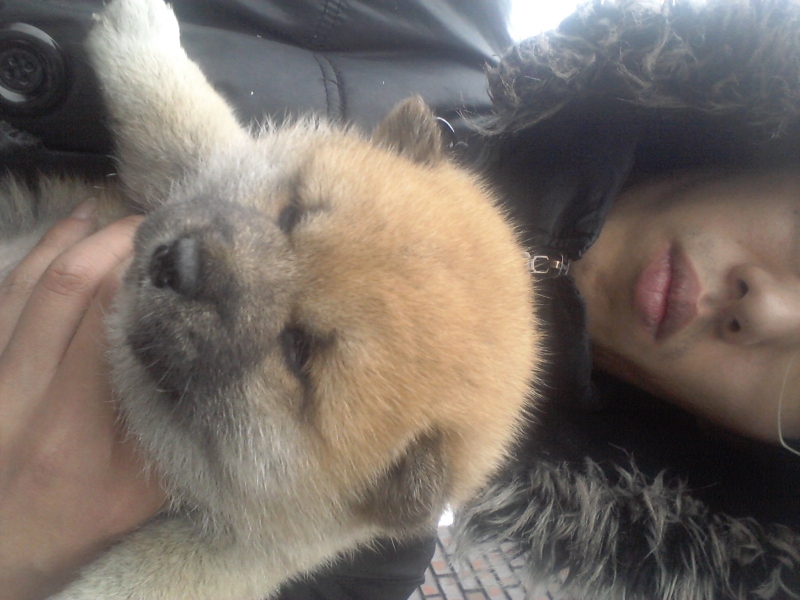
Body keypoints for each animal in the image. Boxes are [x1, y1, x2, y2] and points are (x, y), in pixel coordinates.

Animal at [0, 0, 539, 597]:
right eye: (292, 214)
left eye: (297, 350)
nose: (179, 263)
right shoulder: (195, 167)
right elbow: (178, 117)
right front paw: (139, 28)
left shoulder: (240, 550)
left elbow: (134, 581)